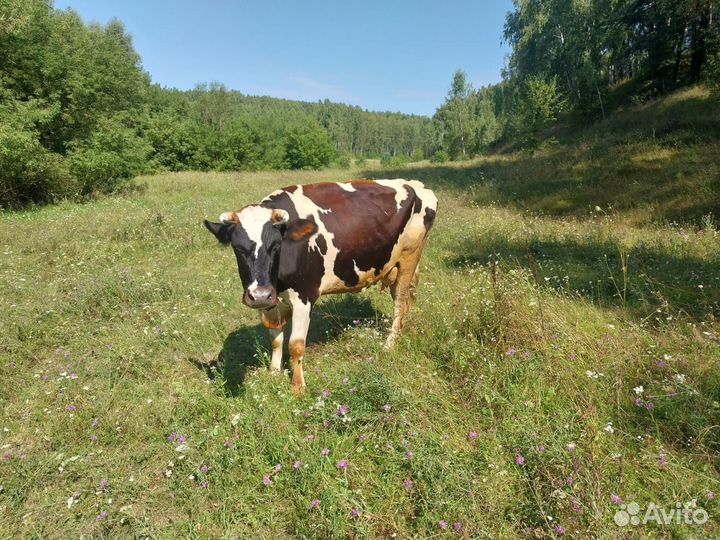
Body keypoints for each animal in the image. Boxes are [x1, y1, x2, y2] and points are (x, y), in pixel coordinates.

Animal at [203, 179, 437, 393]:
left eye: (276, 245)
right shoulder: (272, 300)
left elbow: (295, 345)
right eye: (237, 247)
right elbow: (275, 339)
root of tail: (413, 184)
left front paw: (297, 387)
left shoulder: (304, 296)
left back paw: (389, 343)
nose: (259, 295)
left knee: (400, 302)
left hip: (409, 257)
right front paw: (274, 372)